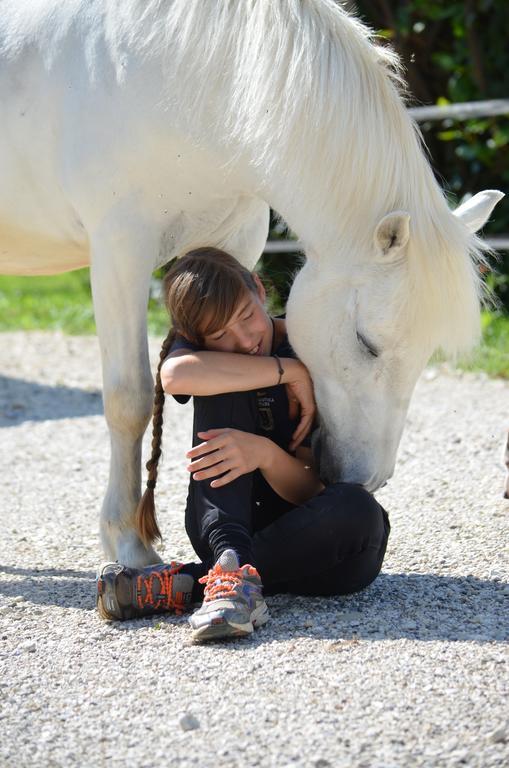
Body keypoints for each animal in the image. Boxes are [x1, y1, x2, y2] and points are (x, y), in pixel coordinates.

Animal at [0, 0, 500, 564]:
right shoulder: (119, 249)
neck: (174, 71)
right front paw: (127, 544)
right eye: (366, 343)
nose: (364, 480)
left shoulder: (233, 242)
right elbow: (129, 399)